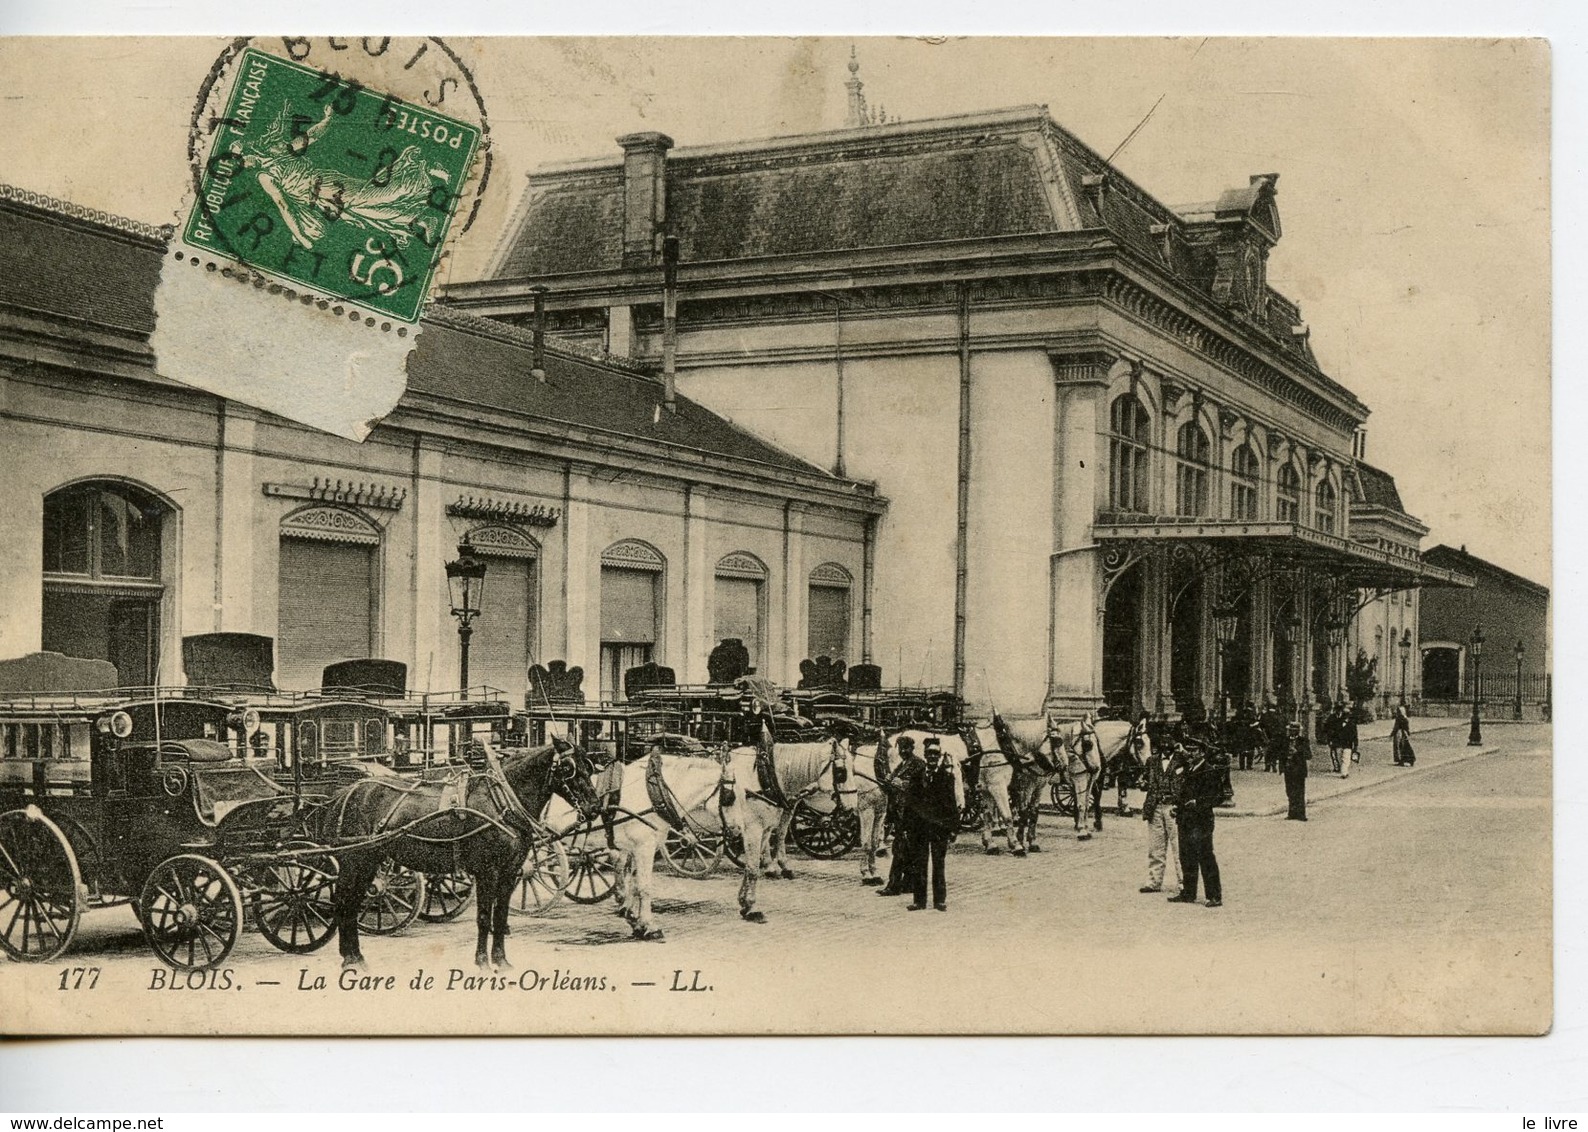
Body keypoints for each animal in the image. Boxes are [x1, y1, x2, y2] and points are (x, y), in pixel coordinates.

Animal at [311, 743, 600, 971]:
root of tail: (343, 794)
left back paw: (355, 957)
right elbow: (484, 917)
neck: (501, 801)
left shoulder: (510, 872)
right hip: (354, 861)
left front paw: (501, 961)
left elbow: (500, 917)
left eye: (589, 767)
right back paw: (350, 959)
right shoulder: (487, 872)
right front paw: (483, 962)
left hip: (369, 862)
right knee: (344, 903)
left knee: (351, 904)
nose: (594, 808)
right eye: (567, 768)